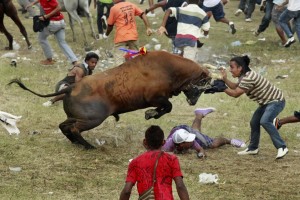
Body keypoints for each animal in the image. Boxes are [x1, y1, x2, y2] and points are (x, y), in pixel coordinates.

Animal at [8, 50, 212, 149]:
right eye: (202, 83)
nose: (193, 102)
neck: (169, 68)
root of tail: (72, 87)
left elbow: (166, 108)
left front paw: (150, 114)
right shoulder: (156, 98)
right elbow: (166, 107)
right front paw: (150, 114)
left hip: (76, 117)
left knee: (64, 126)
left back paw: (77, 143)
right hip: (92, 119)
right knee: (73, 128)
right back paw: (89, 146)